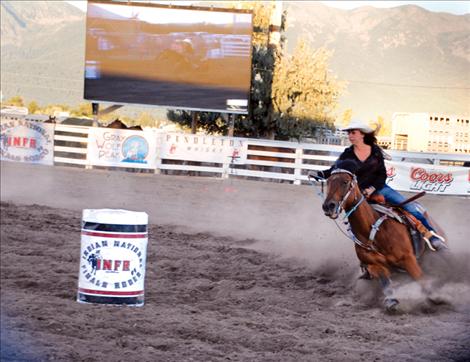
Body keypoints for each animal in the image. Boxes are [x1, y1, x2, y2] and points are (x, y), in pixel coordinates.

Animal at [322, 167, 436, 312]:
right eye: (328, 181)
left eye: (345, 182)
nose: (328, 206)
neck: (374, 231)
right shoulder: (374, 265)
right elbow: (385, 283)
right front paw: (391, 301)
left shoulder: (408, 259)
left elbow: (421, 279)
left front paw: (435, 298)